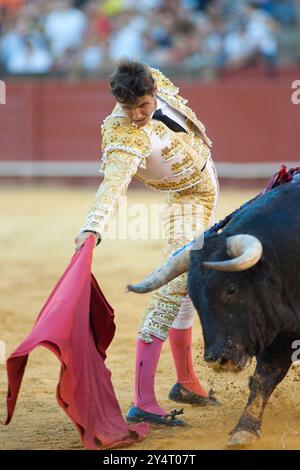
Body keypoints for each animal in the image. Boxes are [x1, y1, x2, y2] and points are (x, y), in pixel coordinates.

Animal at [129, 183, 300, 444]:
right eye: (194, 296)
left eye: (231, 289)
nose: (218, 359)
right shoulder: (282, 328)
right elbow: (265, 376)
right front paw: (244, 430)